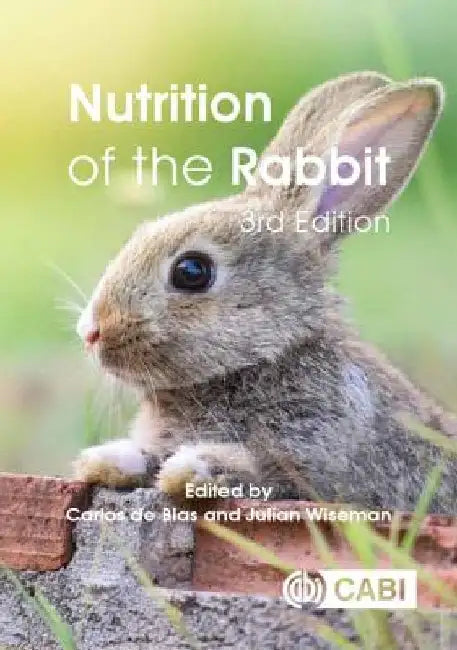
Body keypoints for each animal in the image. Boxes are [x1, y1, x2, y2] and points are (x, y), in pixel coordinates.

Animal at [74, 71, 457, 513]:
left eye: (192, 271)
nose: (91, 332)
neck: (264, 359)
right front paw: (107, 459)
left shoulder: (314, 454)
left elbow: (257, 468)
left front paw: (194, 467)